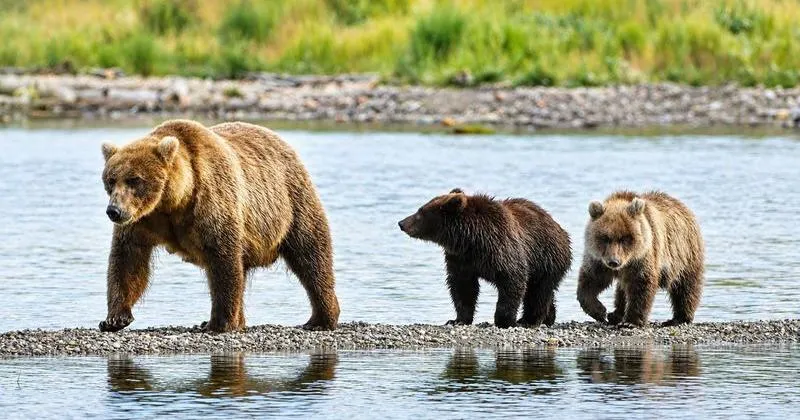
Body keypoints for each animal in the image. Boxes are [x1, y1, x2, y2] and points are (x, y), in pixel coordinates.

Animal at [99, 119, 340, 333]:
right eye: (110, 180)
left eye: (134, 179)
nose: (114, 211)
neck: (173, 202)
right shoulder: (141, 221)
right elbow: (128, 260)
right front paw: (114, 319)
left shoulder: (211, 200)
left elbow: (223, 259)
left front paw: (219, 323)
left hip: (290, 201)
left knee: (310, 254)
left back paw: (320, 318)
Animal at [398, 189, 572, 328]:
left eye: (420, 212)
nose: (401, 223)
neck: (471, 239)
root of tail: (559, 228)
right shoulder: (460, 259)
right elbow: (463, 287)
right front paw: (458, 320)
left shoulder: (502, 249)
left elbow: (512, 280)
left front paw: (504, 321)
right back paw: (548, 318)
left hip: (545, 257)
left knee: (538, 291)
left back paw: (529, 320)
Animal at [577, 191, 704, 327]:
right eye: (605, 238)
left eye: (625, 238)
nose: (614, 261)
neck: (626, 262)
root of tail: (682, 206)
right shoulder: (598, 259)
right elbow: (591, 280)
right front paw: (599, 311)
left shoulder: (643, 256)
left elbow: (641, 284)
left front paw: (631, 321)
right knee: (622, 289)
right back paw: (615, 314)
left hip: (684, 253)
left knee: (685, 286)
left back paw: (679, 318)